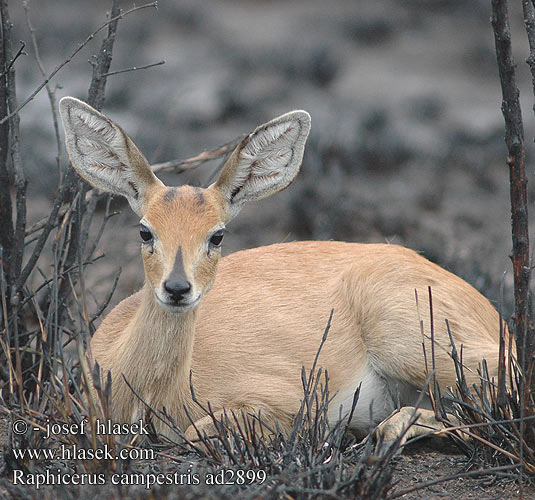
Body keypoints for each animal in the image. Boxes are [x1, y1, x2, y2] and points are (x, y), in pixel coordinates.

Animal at [60, 96, 508, 446]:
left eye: (217, 235)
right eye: (145, 230)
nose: (177, 288)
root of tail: (491, 314)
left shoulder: (283, 400)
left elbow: (200, 430)